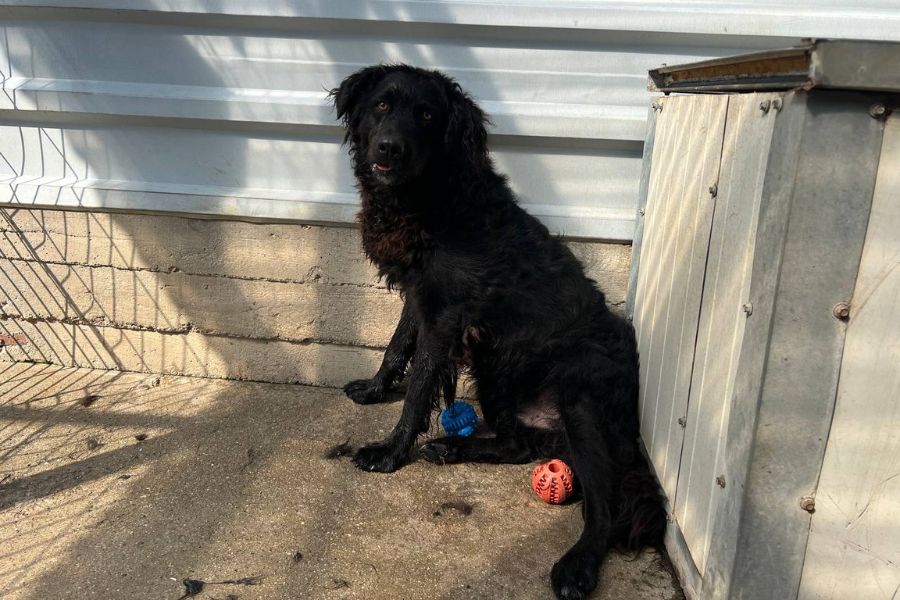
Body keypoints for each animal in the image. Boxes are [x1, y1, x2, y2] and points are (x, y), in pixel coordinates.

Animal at [332, 64, 665, 600]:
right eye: (381, 105)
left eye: (426, 115)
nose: (388, 148)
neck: (434, 196)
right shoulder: (423, 298)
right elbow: (397, 345)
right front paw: (376, 389)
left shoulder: (445, 317)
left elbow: (420, 387)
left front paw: (390, 451)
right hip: (495, 370)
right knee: (516, 446)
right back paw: (451, 447)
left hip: (579, 397)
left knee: (605, 507)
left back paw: (576, 566)